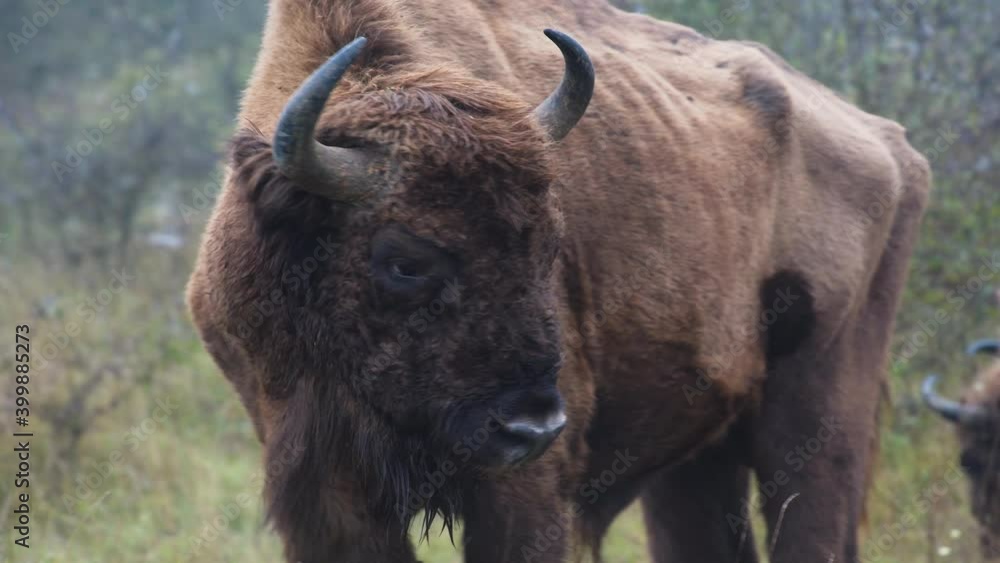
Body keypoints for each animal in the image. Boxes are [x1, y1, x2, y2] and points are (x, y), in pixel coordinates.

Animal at [185, 0, 931, 561]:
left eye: (550, 243)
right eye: (405, 260)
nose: (533, 422)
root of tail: (893, 146)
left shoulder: (522, 490)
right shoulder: (325, 487)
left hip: (816, 423)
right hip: (699, 450)